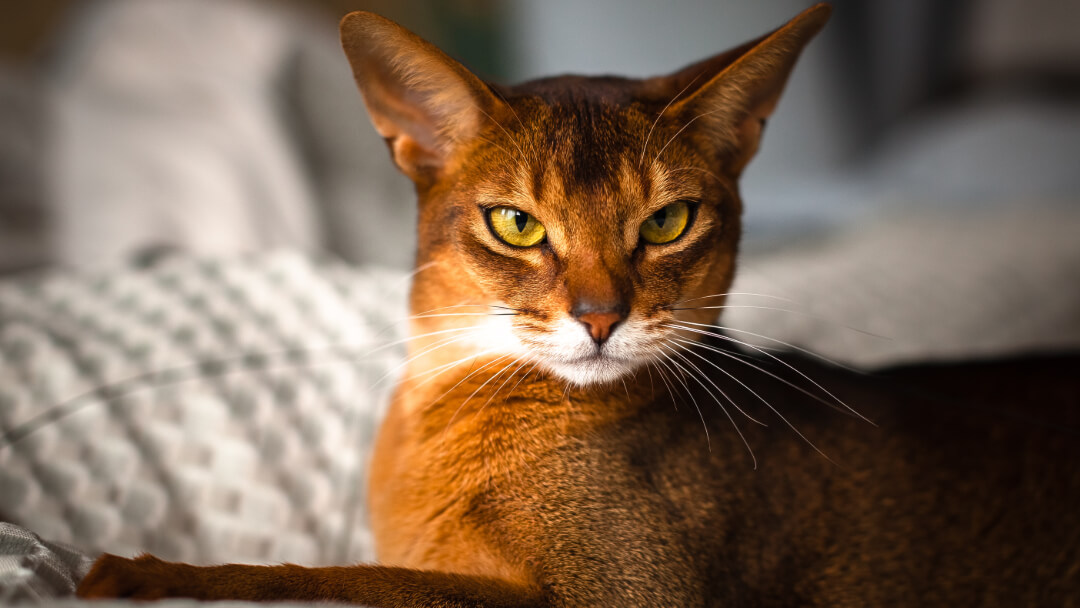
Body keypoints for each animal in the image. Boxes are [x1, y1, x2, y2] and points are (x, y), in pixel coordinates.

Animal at [76, 4, 1080, 608]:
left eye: (668, 221)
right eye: (517, 224)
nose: (601, 317)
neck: (443, 421)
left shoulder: (625, 592)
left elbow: (351, 579)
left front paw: (148, 570)